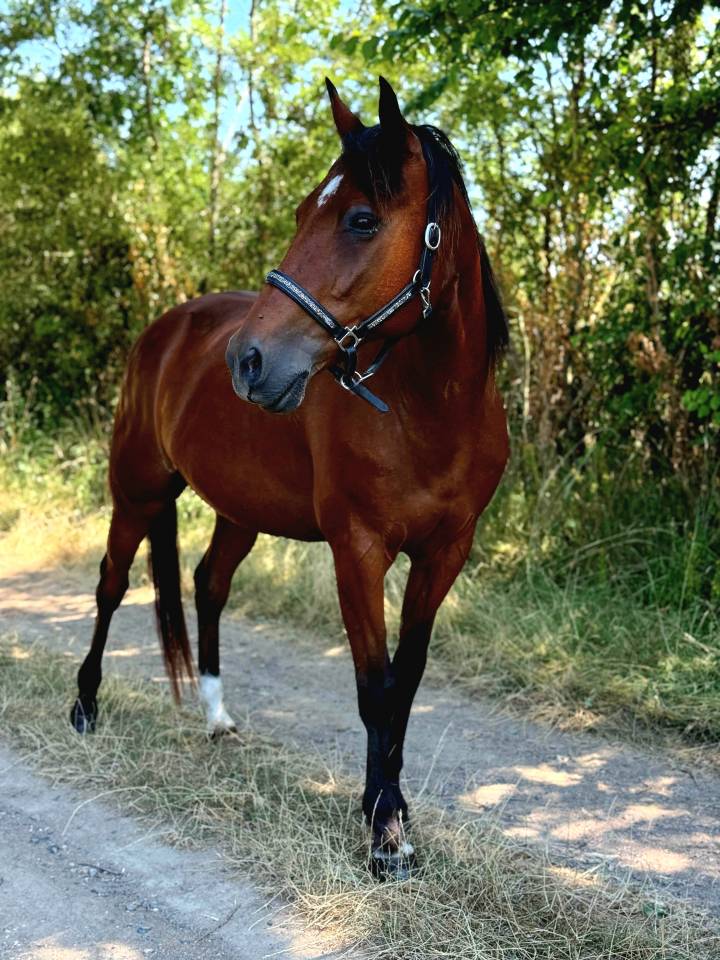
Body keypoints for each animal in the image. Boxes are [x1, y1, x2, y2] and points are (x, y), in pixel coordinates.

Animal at [70, 76, 509, 877]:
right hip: (137, 488)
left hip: (239, 510)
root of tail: (166, 328)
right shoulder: (357, 552)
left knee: (208, 584)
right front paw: (385, 834)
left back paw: (216, 716)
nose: (247, 362)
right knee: (112, 584)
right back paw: (85, 706)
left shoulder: (444, 555)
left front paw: (390, 813)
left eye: (362, 220)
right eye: (306, 212)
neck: (431, 412)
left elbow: (406, 685)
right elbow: (374, 688)